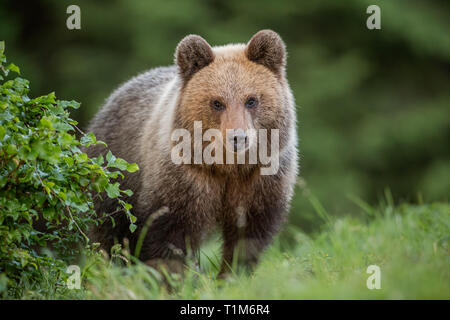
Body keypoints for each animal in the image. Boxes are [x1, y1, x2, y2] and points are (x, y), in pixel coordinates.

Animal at [86, 28, 298, 276]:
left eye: (251, 100)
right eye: (217, 102)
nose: (237, 137)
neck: (227, 167)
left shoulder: (259, 179)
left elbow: (248, 235)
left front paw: (233, 274)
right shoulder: (183, 178)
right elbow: (171, 234)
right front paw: (171, 274)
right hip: (114, 176)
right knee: (108, 232)